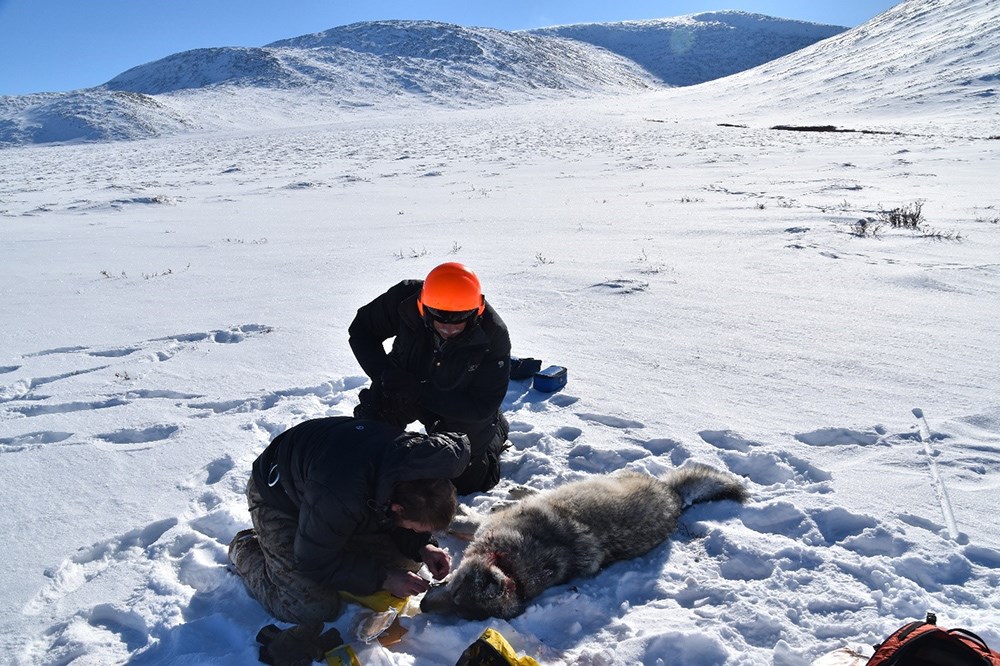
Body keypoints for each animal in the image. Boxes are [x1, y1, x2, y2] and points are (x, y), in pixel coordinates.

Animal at [421, 463, 747, 620]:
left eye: (457, 599)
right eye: (455, 609)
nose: (423, 607)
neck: (515, 570)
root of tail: (675, 498)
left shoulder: (487, 528)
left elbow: (464, 521)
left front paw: (454, 515)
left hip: (611, 478)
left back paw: (514, 494)